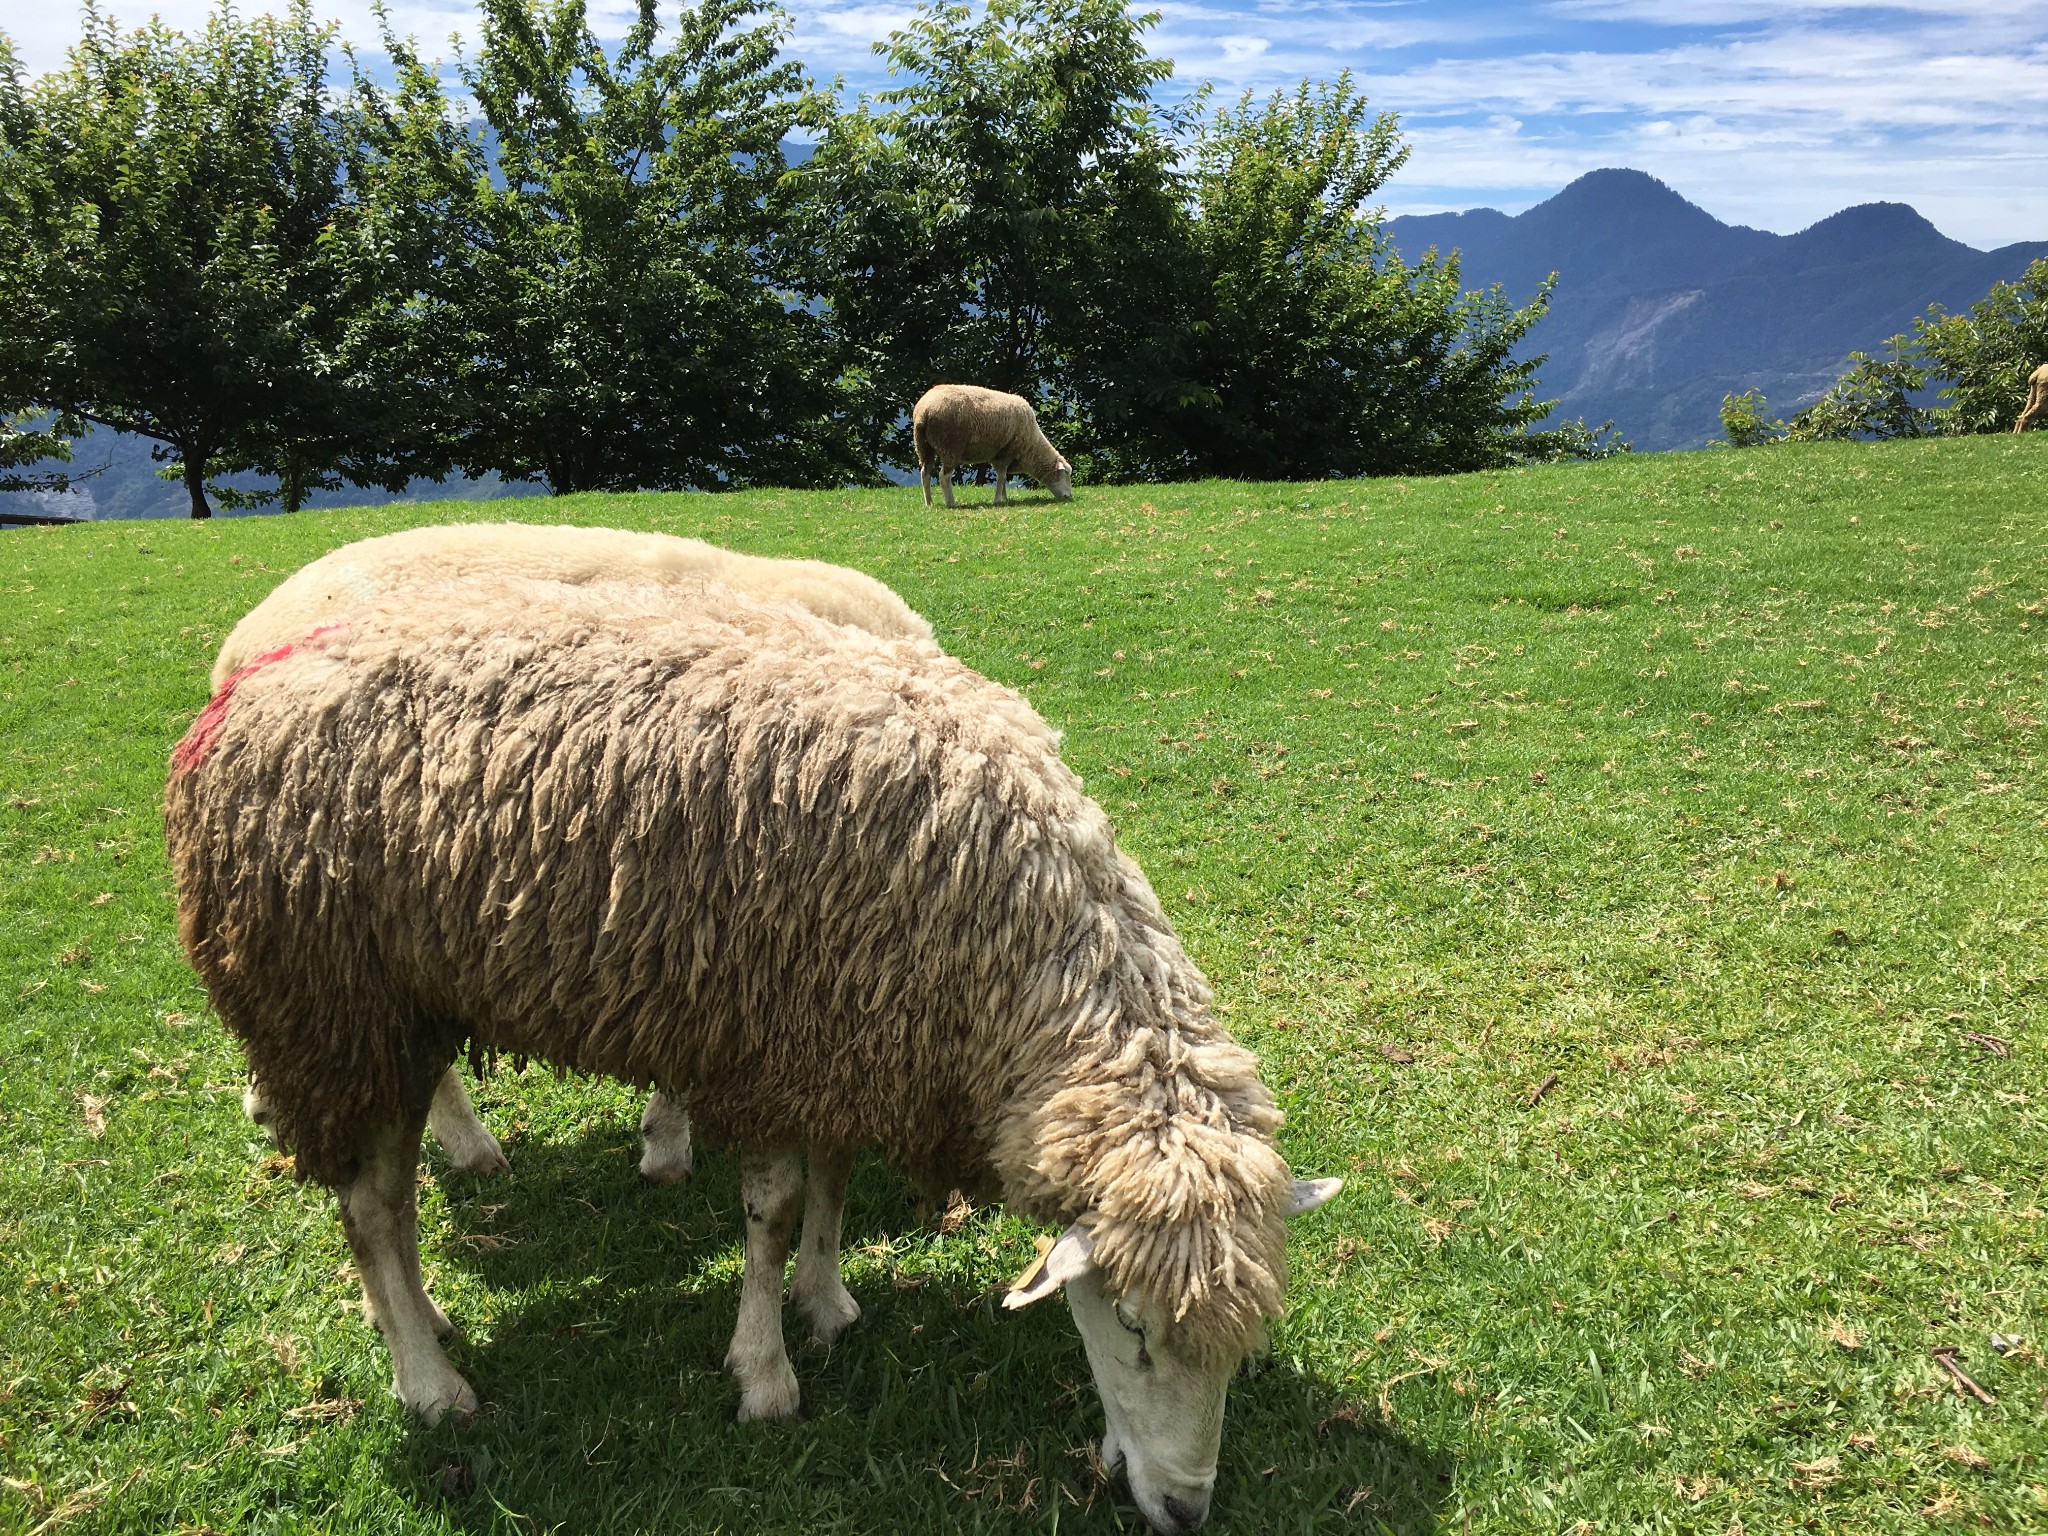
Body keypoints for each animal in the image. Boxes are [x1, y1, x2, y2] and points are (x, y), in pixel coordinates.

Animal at [913, 385, 1073, 512]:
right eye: (1065, 474)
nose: (1069, 497)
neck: (1031, 447)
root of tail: (924, 411)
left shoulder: (997, 456)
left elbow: (1003, 478)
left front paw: (1004, 498)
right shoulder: (1006, 453)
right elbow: (1002, 477)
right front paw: (998, 500)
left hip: (923, 446)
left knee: (925, 473)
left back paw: (929, 503)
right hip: (950, 446)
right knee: (944, 476)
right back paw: (951, 503)